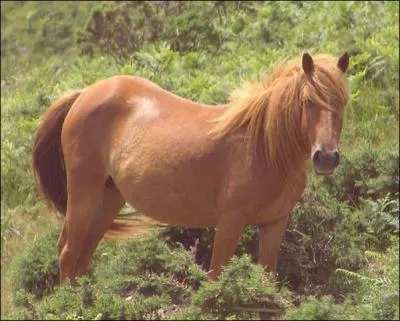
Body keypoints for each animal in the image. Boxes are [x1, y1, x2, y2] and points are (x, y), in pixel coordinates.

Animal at [32, 51, 348, 282]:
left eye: (343, 101)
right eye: (307, 101)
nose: (326, 157)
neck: (264, 146)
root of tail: (85, 93)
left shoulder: (274, 223)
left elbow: (267, 280)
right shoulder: (230, 221)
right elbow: (216, 278)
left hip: (109, 197)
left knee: (82, 257)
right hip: (83, 193)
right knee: (68, 253)